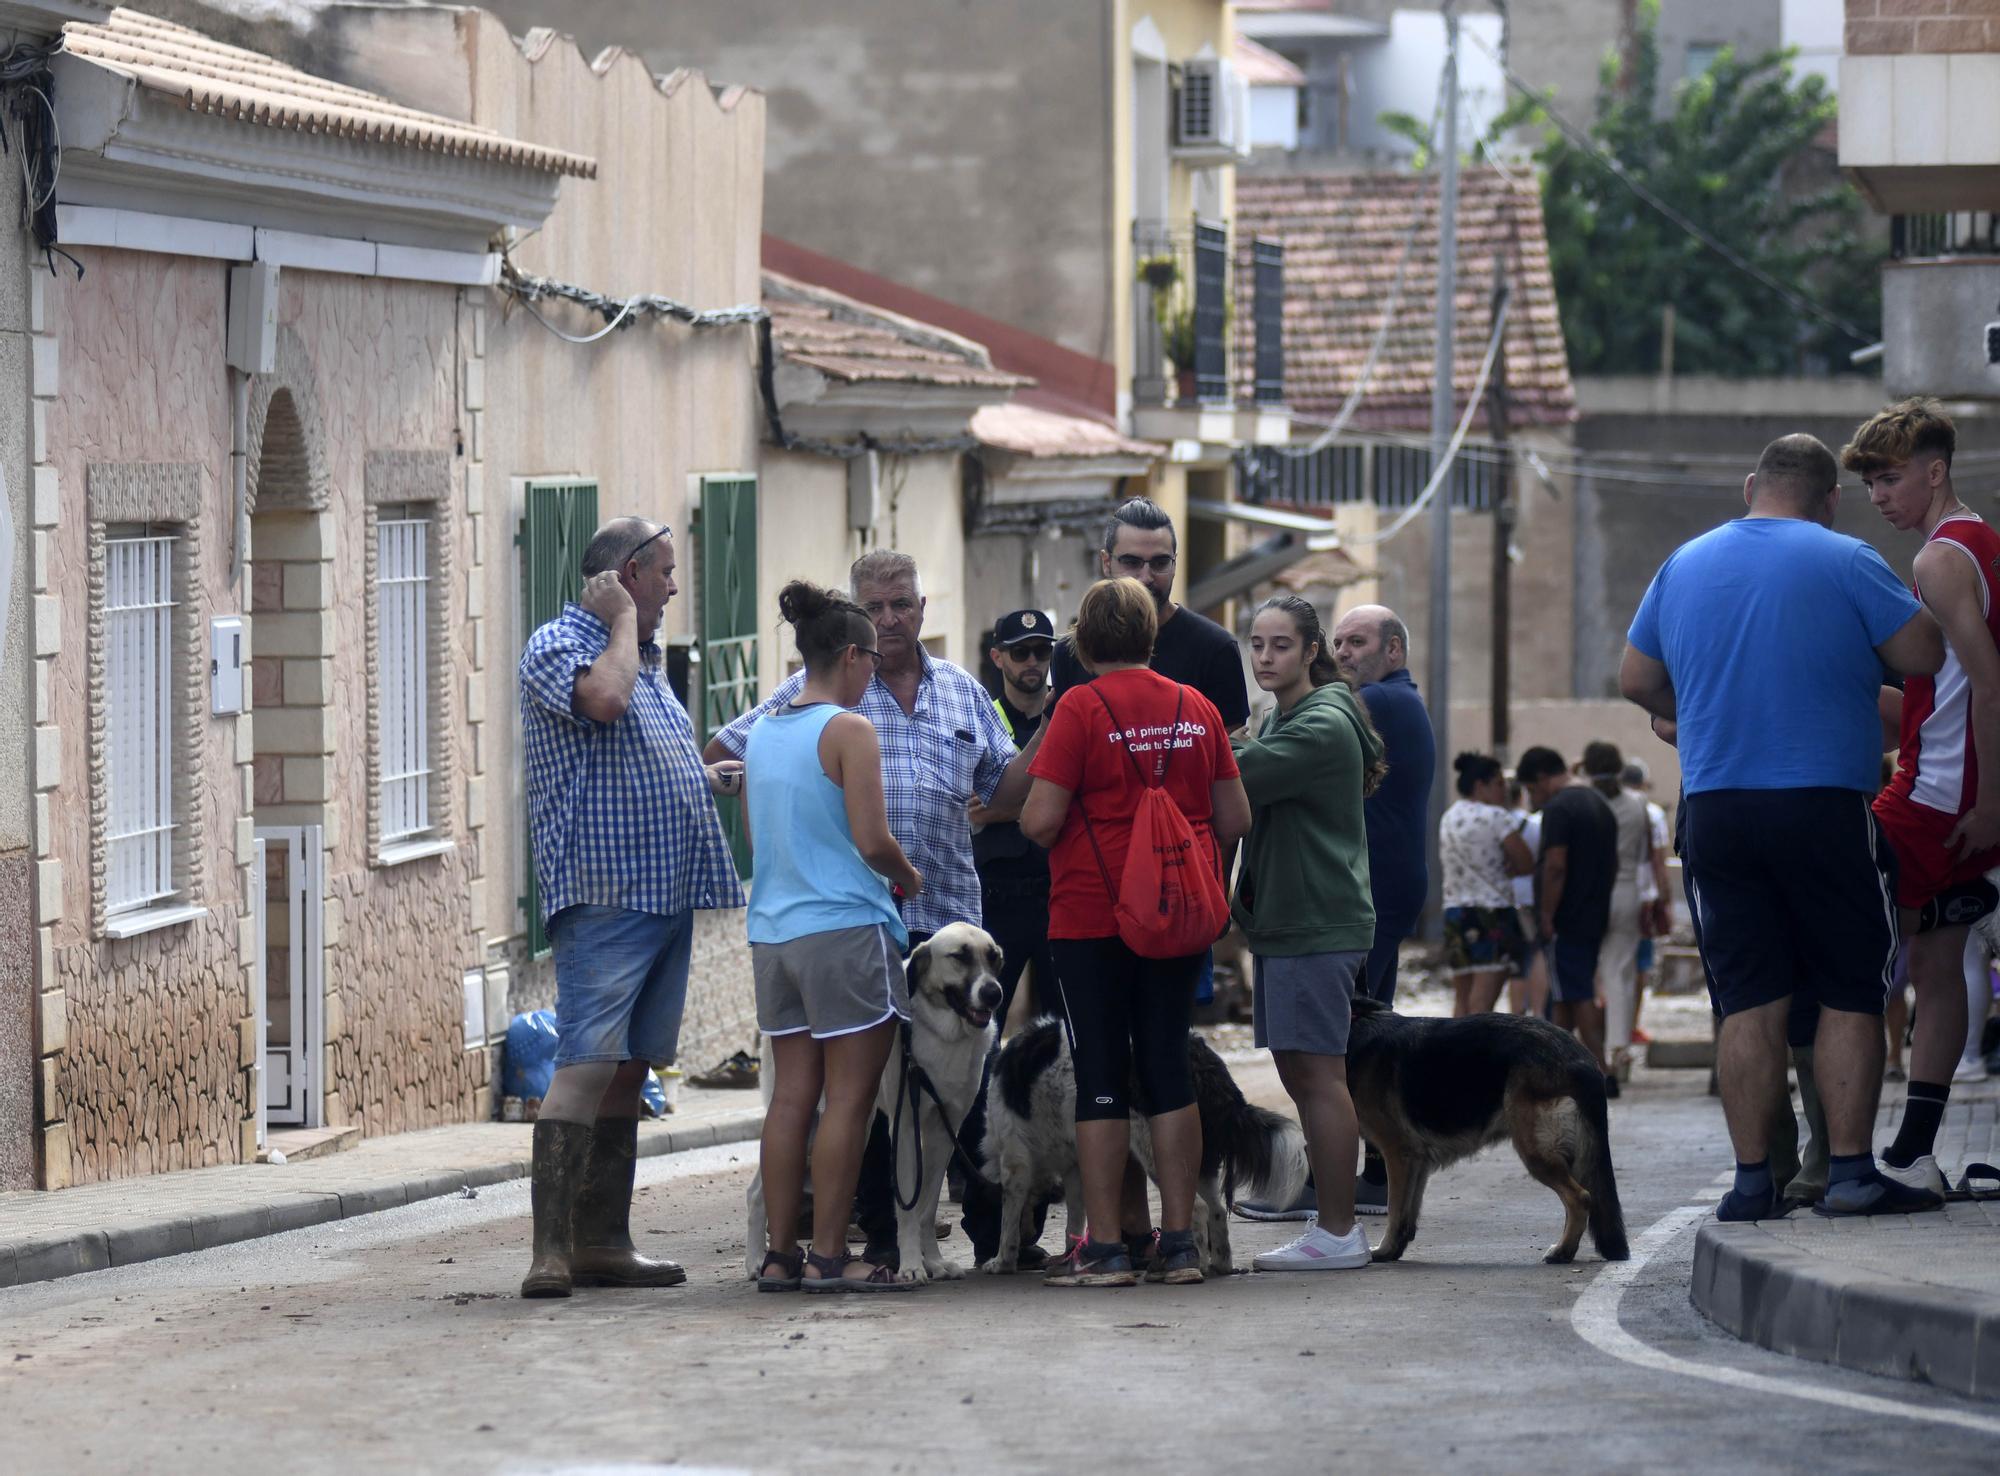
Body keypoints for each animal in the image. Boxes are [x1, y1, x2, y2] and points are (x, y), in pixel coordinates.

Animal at [972, 1016, 1312, 1272]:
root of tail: (1199, 1054)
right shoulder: (1075, 1167)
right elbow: (1074, 1220)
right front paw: (1071, 1256)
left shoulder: (1016, 1163)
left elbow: (1008, 1222)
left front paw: (1002, 1261)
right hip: (1199, 1158)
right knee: (1216, 1210)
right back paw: (1221, 1265)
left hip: (1155, 1149)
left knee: (1198, 1208)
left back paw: (1196, 1264)